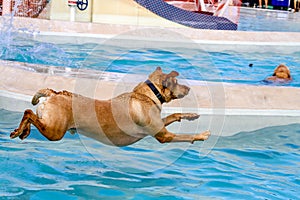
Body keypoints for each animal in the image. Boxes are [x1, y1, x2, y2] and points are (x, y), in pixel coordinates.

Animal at [10, 67, 210, 147]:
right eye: (177, 82)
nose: (189, 88)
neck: (148, 95)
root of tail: (54, 93)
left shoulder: (159, 126)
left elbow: (174, 115)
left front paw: (192, 115)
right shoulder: (163, 136)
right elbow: (185, 136)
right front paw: (201, 135)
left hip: (52, 125)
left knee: (31, 115)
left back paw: (22, 131)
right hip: (55, 131)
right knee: (28, 112)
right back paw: (20, 130)